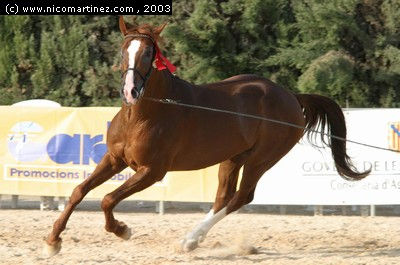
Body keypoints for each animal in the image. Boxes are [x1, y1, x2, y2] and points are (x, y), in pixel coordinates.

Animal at [43, 17, 368, 256]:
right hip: (233, 158)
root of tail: (290, 96)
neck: (146, 115)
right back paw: (194, 240)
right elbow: (78, 192)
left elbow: (108, 199)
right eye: (124, 51)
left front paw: (123, 230)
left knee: (241, 196)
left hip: (261, 160)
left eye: (148, 53)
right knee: (224, 196)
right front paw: (53, 241)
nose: (130, 91)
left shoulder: (152, 171)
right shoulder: (114, 159)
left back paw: (189, 240)